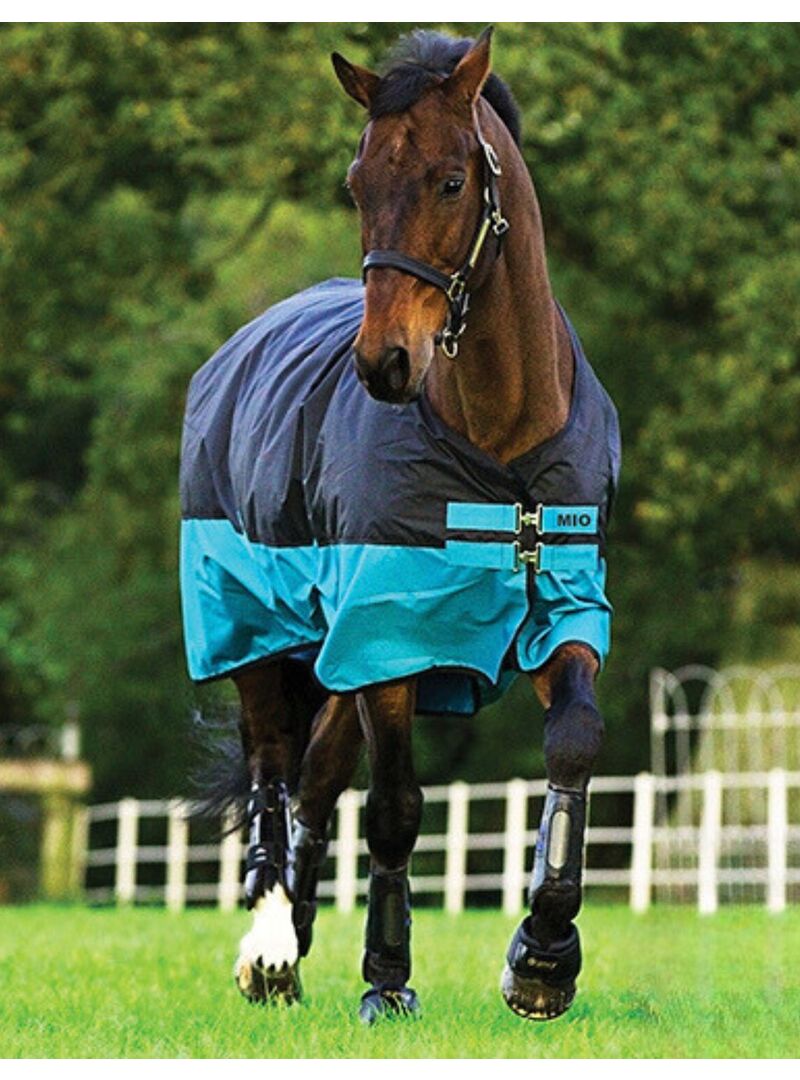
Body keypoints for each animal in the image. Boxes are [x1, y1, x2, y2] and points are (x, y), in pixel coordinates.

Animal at [180, 28, 620, 1023]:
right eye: (357, 182)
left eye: (453, 181)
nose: (384, 362)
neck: (500, 443)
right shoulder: (391, 637)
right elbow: (395, 808)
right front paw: (387, 980)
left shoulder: (562, 609)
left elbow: (574, 743)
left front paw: (544, 958)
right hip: (259, 631)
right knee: (274, 769)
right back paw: (271, 947)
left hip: (337, 660)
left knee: (314, 780)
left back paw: (296, 939)